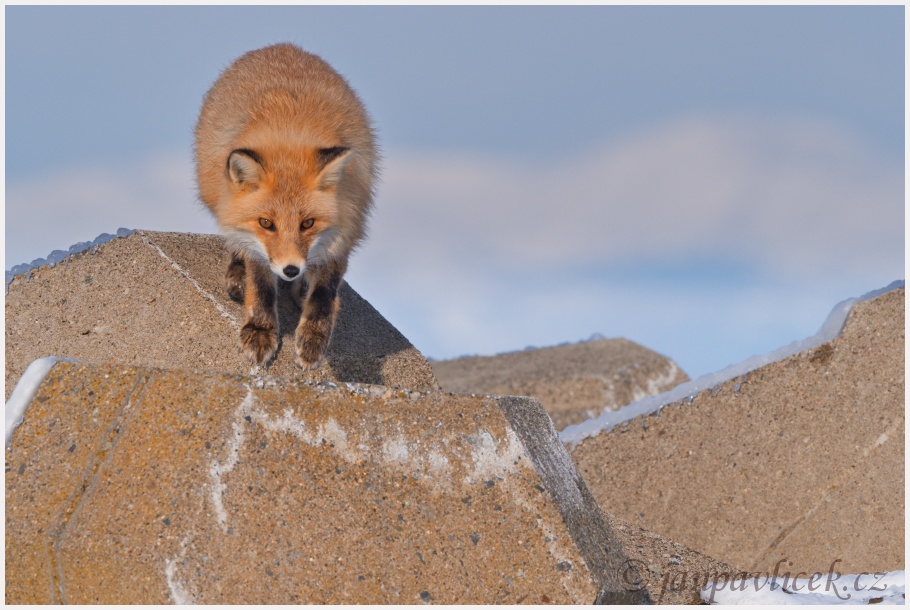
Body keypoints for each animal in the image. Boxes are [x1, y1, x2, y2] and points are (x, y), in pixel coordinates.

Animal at [192, 44, 378, 366]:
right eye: (266, 223)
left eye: (308, 223)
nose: (291, 270)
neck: (291, 132)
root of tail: (282, 47)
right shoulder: (258, 245)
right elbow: (261, 287)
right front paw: (260, 330)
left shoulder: (347, 224)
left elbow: (325, 292)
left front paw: (314, 337)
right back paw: (238, 274)